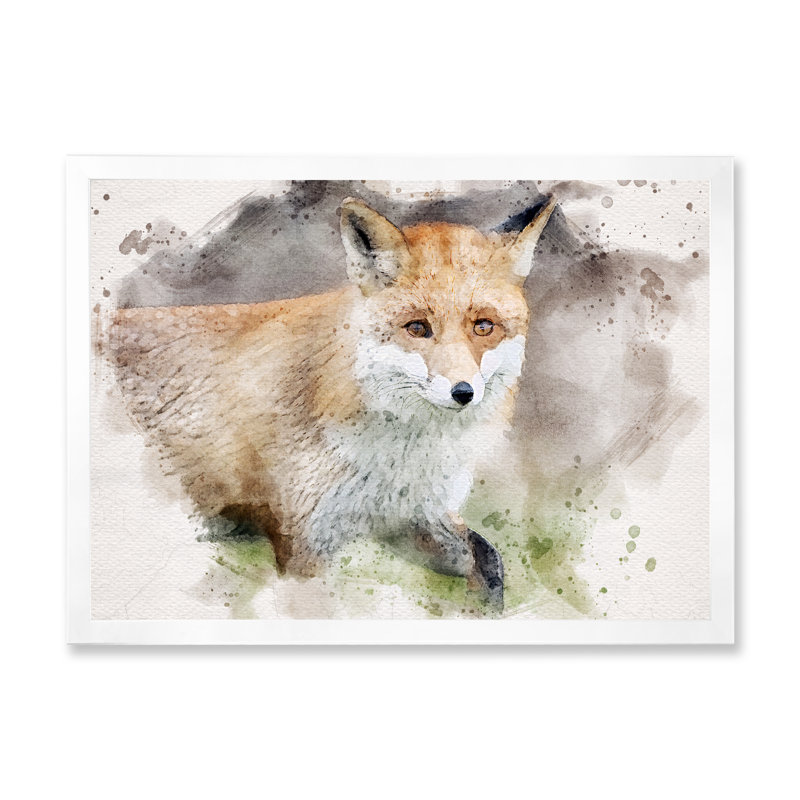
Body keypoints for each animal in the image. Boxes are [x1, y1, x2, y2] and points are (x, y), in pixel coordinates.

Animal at [109, 195, 558, 611]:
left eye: (484, 326)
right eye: (417, 328)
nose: (463, 392)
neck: (400, 460)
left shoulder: (409, 518)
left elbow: (487, 560)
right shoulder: (304, 540)